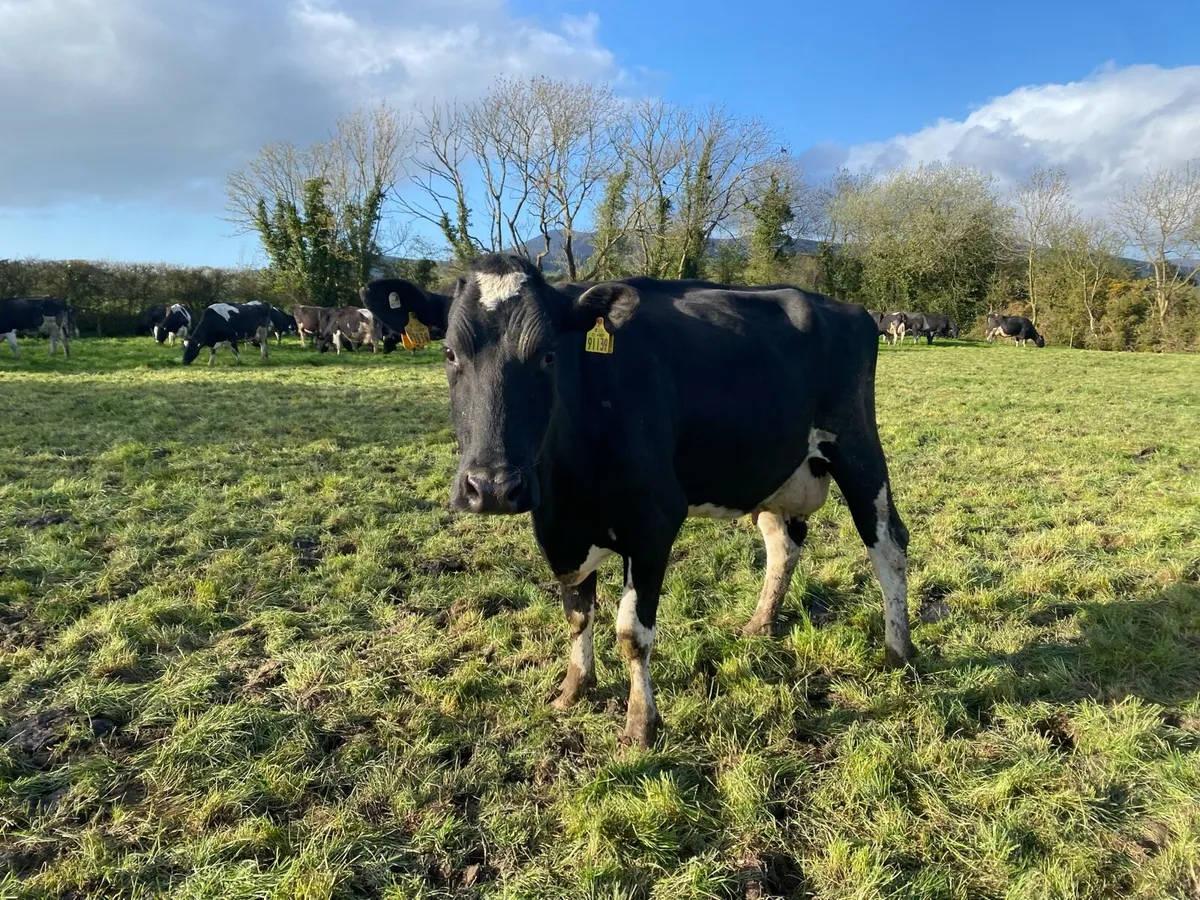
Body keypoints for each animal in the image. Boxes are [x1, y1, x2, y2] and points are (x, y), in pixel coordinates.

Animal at [362, 254, 914, 748]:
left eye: (549, 355)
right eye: (449, 353)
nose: (493, 487)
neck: (570, 486)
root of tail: (844, 306)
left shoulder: (654, 522)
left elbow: (632, 633)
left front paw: (640, 724)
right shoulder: (558, 527)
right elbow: (577, 612)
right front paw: (573, 689)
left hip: (857, 448)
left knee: (888, 544)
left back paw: (899, 651)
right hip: (776, 472)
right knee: (783, 544)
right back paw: (760, 624)